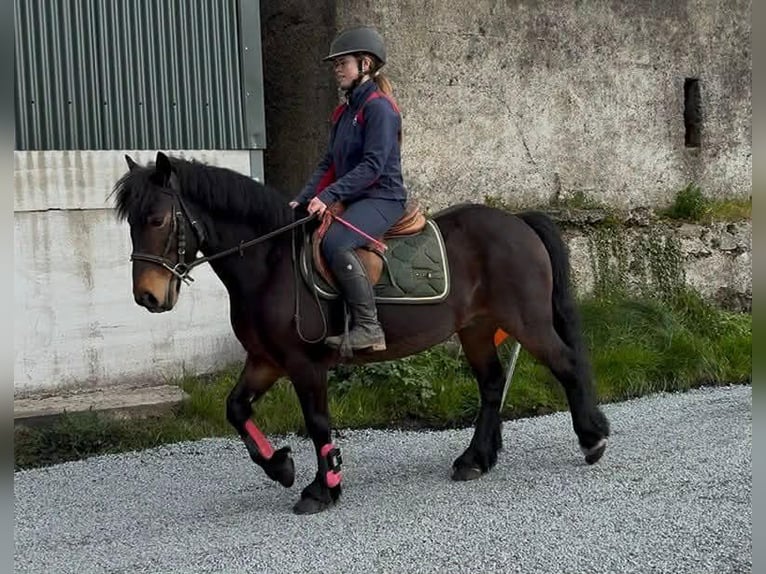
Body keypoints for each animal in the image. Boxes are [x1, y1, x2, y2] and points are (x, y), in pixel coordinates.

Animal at [112, 151, 610, 515]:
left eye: (157, 220)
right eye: (132, 223)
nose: (147, 297)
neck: (271, 263)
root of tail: (518, 221)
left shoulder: (304, 364)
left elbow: (317, 423)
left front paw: (322, 487)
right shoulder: (266, 360)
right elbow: (235, 409)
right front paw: (281, 467)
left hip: (527, 322)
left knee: (566, 365)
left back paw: (592, 439)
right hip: (477, 328)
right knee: (491, 385)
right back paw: (475, 460)